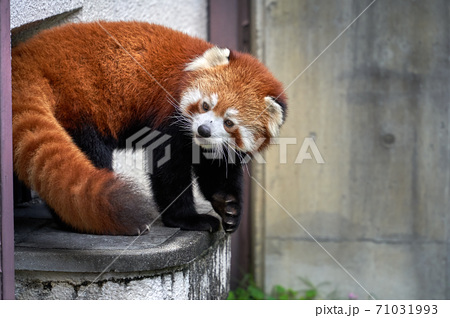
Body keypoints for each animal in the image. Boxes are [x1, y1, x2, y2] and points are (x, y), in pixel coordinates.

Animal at [11, 21, 288, 235]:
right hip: (79, 105)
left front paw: (229, 207)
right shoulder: (169, 115)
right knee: (90, 155)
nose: (203, 131)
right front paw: (186, 219)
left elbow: (217, 168)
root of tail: (28, 54)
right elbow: (169, 172)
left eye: (229, 122)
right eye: (205, 105)